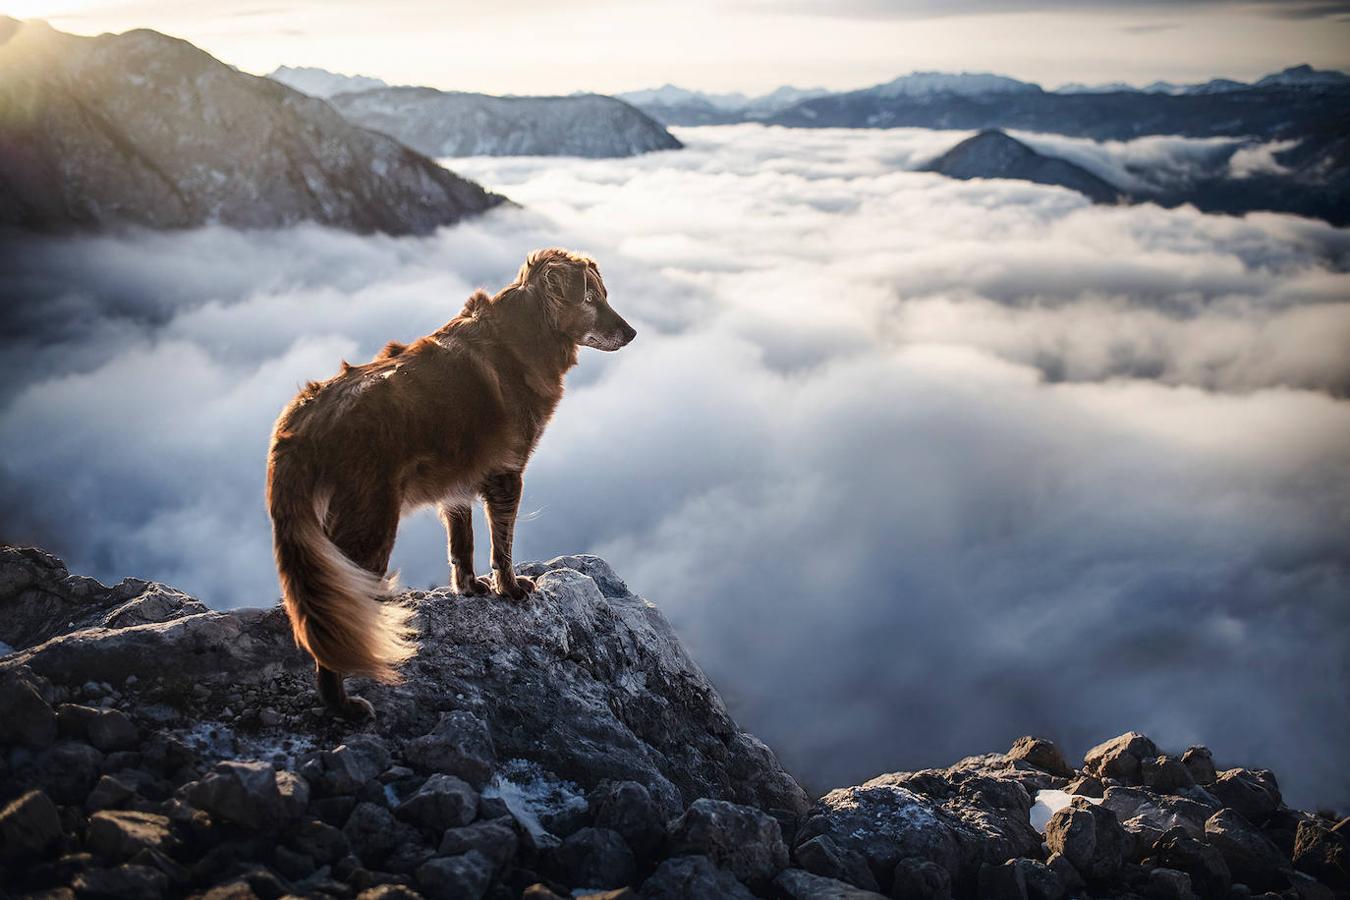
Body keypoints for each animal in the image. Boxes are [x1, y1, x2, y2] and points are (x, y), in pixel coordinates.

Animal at [267, 249, 637, 723]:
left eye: (604, 294)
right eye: (590, 298)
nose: (631, 333)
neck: (524, 335)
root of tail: (301, 422)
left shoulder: (456, 482)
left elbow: (462, 542)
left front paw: (468, 587)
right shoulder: (506, 474)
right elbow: (502, 546)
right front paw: (510, 589)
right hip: (368, 527)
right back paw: (343, 704)